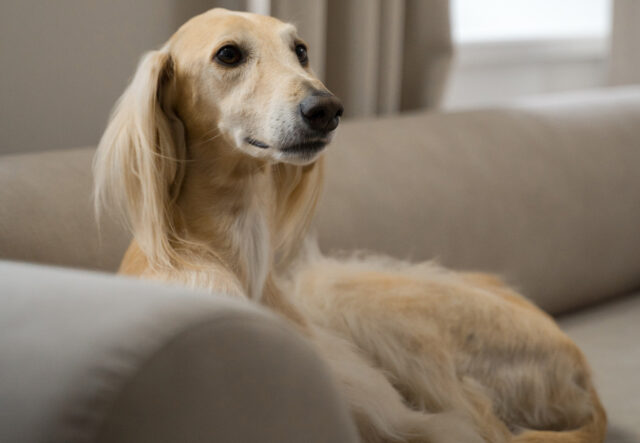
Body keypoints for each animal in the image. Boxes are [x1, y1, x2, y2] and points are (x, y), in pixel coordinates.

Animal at [94, 7, 604, 443]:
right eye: (229, 54)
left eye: (300, 50)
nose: (326, 109)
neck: (230, 251)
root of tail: (582, 368)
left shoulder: (407, 417)